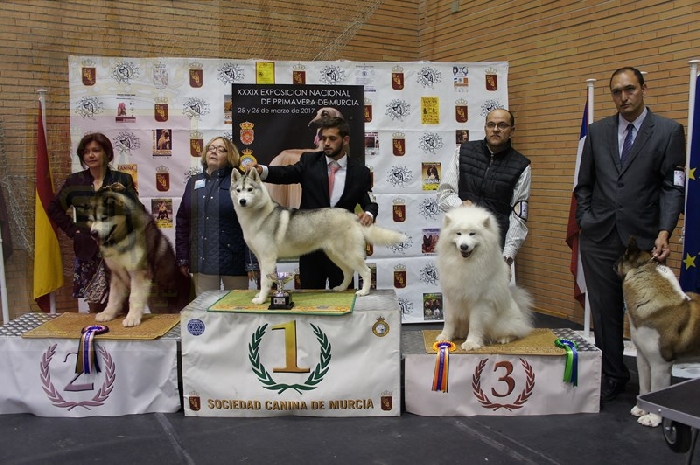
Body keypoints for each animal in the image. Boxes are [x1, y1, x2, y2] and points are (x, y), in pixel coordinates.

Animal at [88, 183, 191, 326]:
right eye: (91, 220)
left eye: (104, 218)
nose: (93, 233)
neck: (122, 240)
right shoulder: (117, 274)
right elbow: (113, 297)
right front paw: (107, 313)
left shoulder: (139, 272)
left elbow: (134, 297)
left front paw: (132, 318)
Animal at [230, 169, 407, 305]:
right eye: (238, 190)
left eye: (250, 189)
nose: (242, 201)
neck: (256, 216)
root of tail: (352, 215)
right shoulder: (261, 259)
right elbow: (264, 280)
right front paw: (261, 295)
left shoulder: (267, 258)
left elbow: (265, 281)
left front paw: (260, 300)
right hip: (335, 255)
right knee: (348, 271)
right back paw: (341, 288)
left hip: (349, 254)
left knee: (366, 271)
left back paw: (364, 292)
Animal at [435, 206, 533, 350]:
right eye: (458, 234)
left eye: (472, 234)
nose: (464, 246)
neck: (465, 264)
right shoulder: (451, 296)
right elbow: (449, 320)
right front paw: (445, 337)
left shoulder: (479, 301)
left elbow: (475, 325)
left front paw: (471, 343)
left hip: (503, 323)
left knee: (517, 331)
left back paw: (504, 338)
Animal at [616, 237, 700, 427]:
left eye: (622, 257)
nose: (613, 262)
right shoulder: (643, 357)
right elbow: (645, 386)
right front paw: (640, 409)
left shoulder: (660, 363)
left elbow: (656, 388)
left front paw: (652, 418)